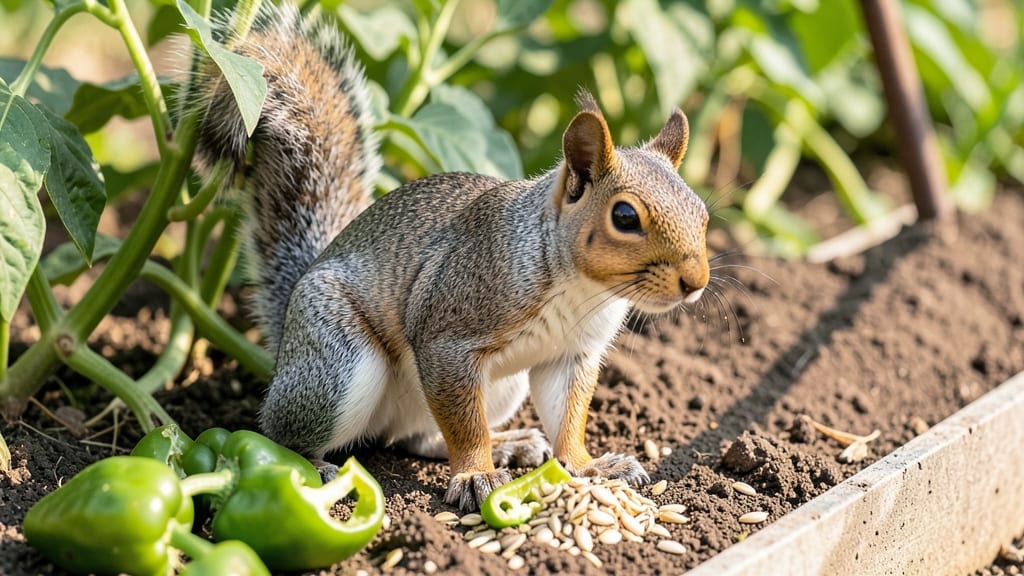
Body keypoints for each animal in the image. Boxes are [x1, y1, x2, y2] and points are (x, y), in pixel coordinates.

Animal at [190, 3, 710, 510]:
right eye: (624, 216)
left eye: (703, 212)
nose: (697, 282)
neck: (582, 290)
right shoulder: (449, 333)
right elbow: (464, 423)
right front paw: (477, 475)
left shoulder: (572, 355)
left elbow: (568, 419)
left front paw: (591, 466)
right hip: (338, 365)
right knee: (283, 429)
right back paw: (313, 467)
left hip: (500, 388)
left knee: (419, 438)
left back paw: (508, 442)